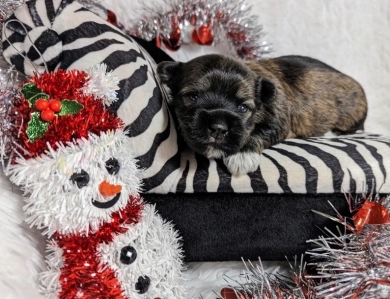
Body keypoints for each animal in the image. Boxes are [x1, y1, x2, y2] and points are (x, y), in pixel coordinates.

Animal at [157, 55, 368, 175]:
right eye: (192, 97)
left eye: (243, 108)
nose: (218, 128)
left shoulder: (279, 122)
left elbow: (258, 133)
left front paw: (242, 156)